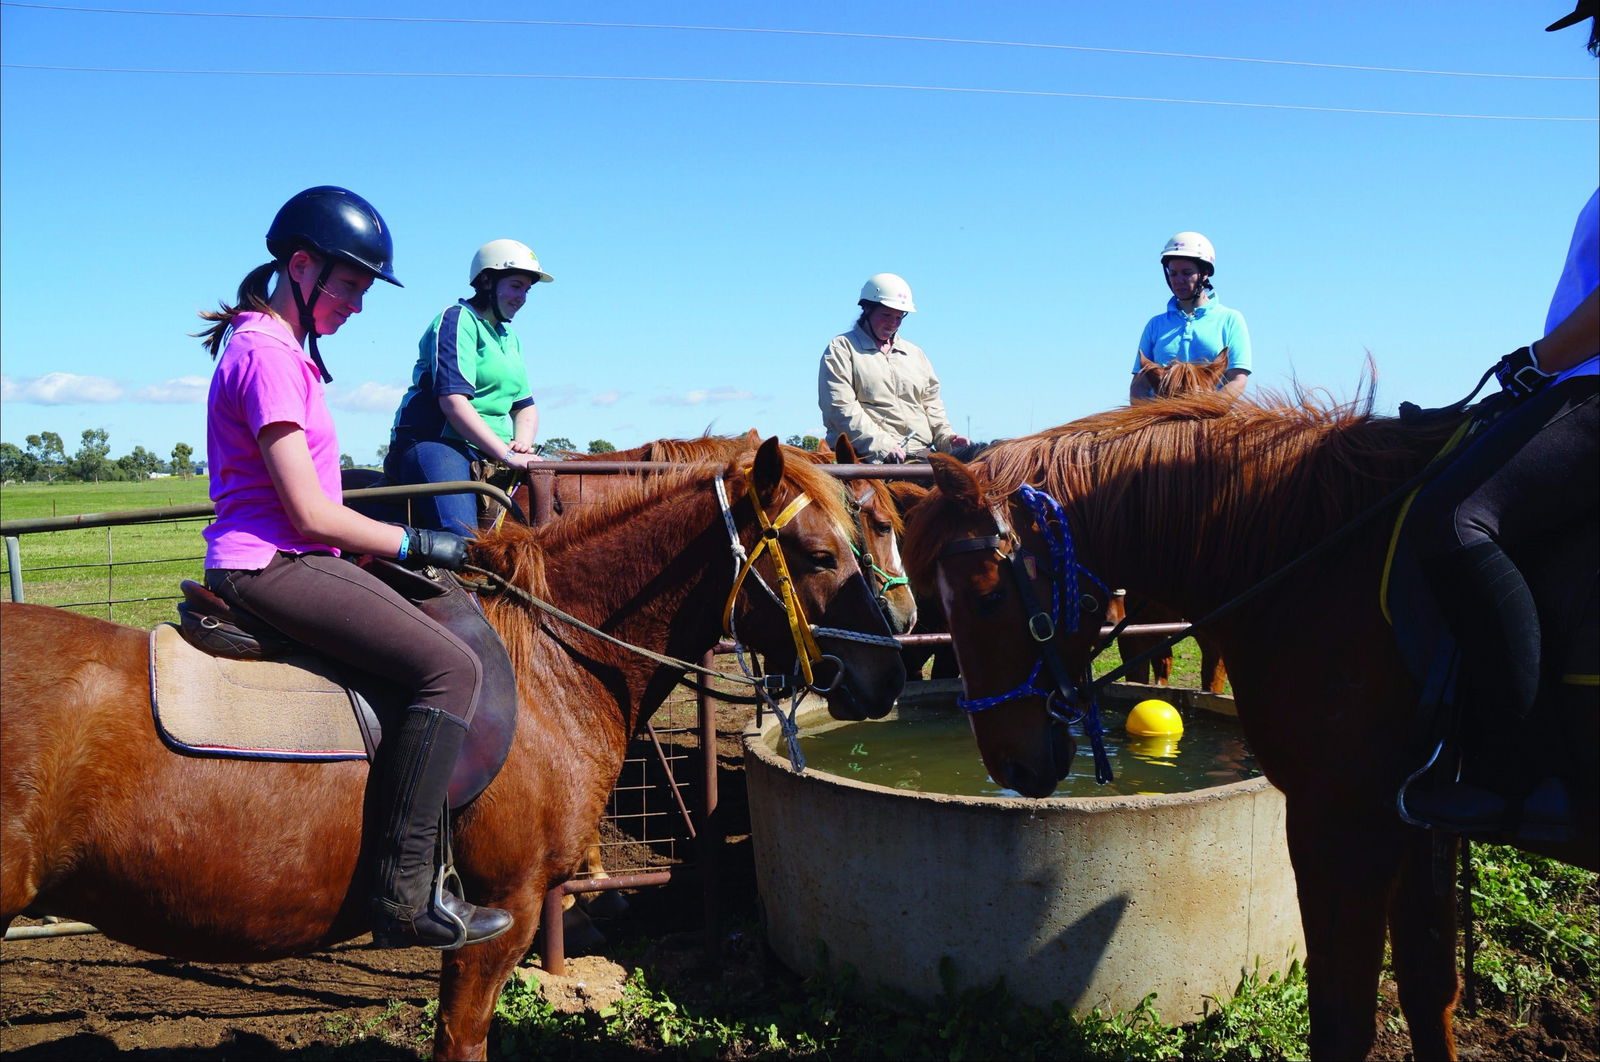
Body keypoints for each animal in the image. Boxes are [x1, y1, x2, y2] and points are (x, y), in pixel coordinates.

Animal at [908, 391, 1593, 1062]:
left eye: (986, 599)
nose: (1007, 765)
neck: (1322, 559)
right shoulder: (1419, 821)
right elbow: (1428, 992)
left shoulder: (1345, 824)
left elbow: (1342, 1025)